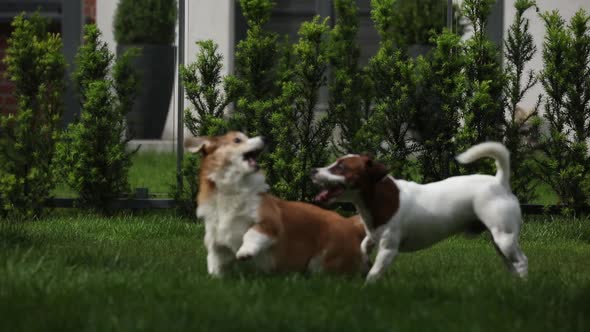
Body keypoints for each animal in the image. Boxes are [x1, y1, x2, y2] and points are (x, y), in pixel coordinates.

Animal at [186, 131, 370, 276]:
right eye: (237, 140)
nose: (265, 138)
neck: (232, 190)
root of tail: (351, 225)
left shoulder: (269, 222)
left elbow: (251, 233)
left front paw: (245, 252)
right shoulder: (216, 240)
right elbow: (215, 261)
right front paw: (215, 278)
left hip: (323, 262)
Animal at [314, 143, 532, 282]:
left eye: (341, 167)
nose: (312, 171)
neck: (379, 198)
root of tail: (500, 182)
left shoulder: (388, 249)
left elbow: (374, 272)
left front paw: (366, 287)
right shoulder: (373, 236)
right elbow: (363, 247)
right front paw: (364, 261)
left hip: (504, 237)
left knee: (522, 261)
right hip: (499, 241)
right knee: (511, 264)